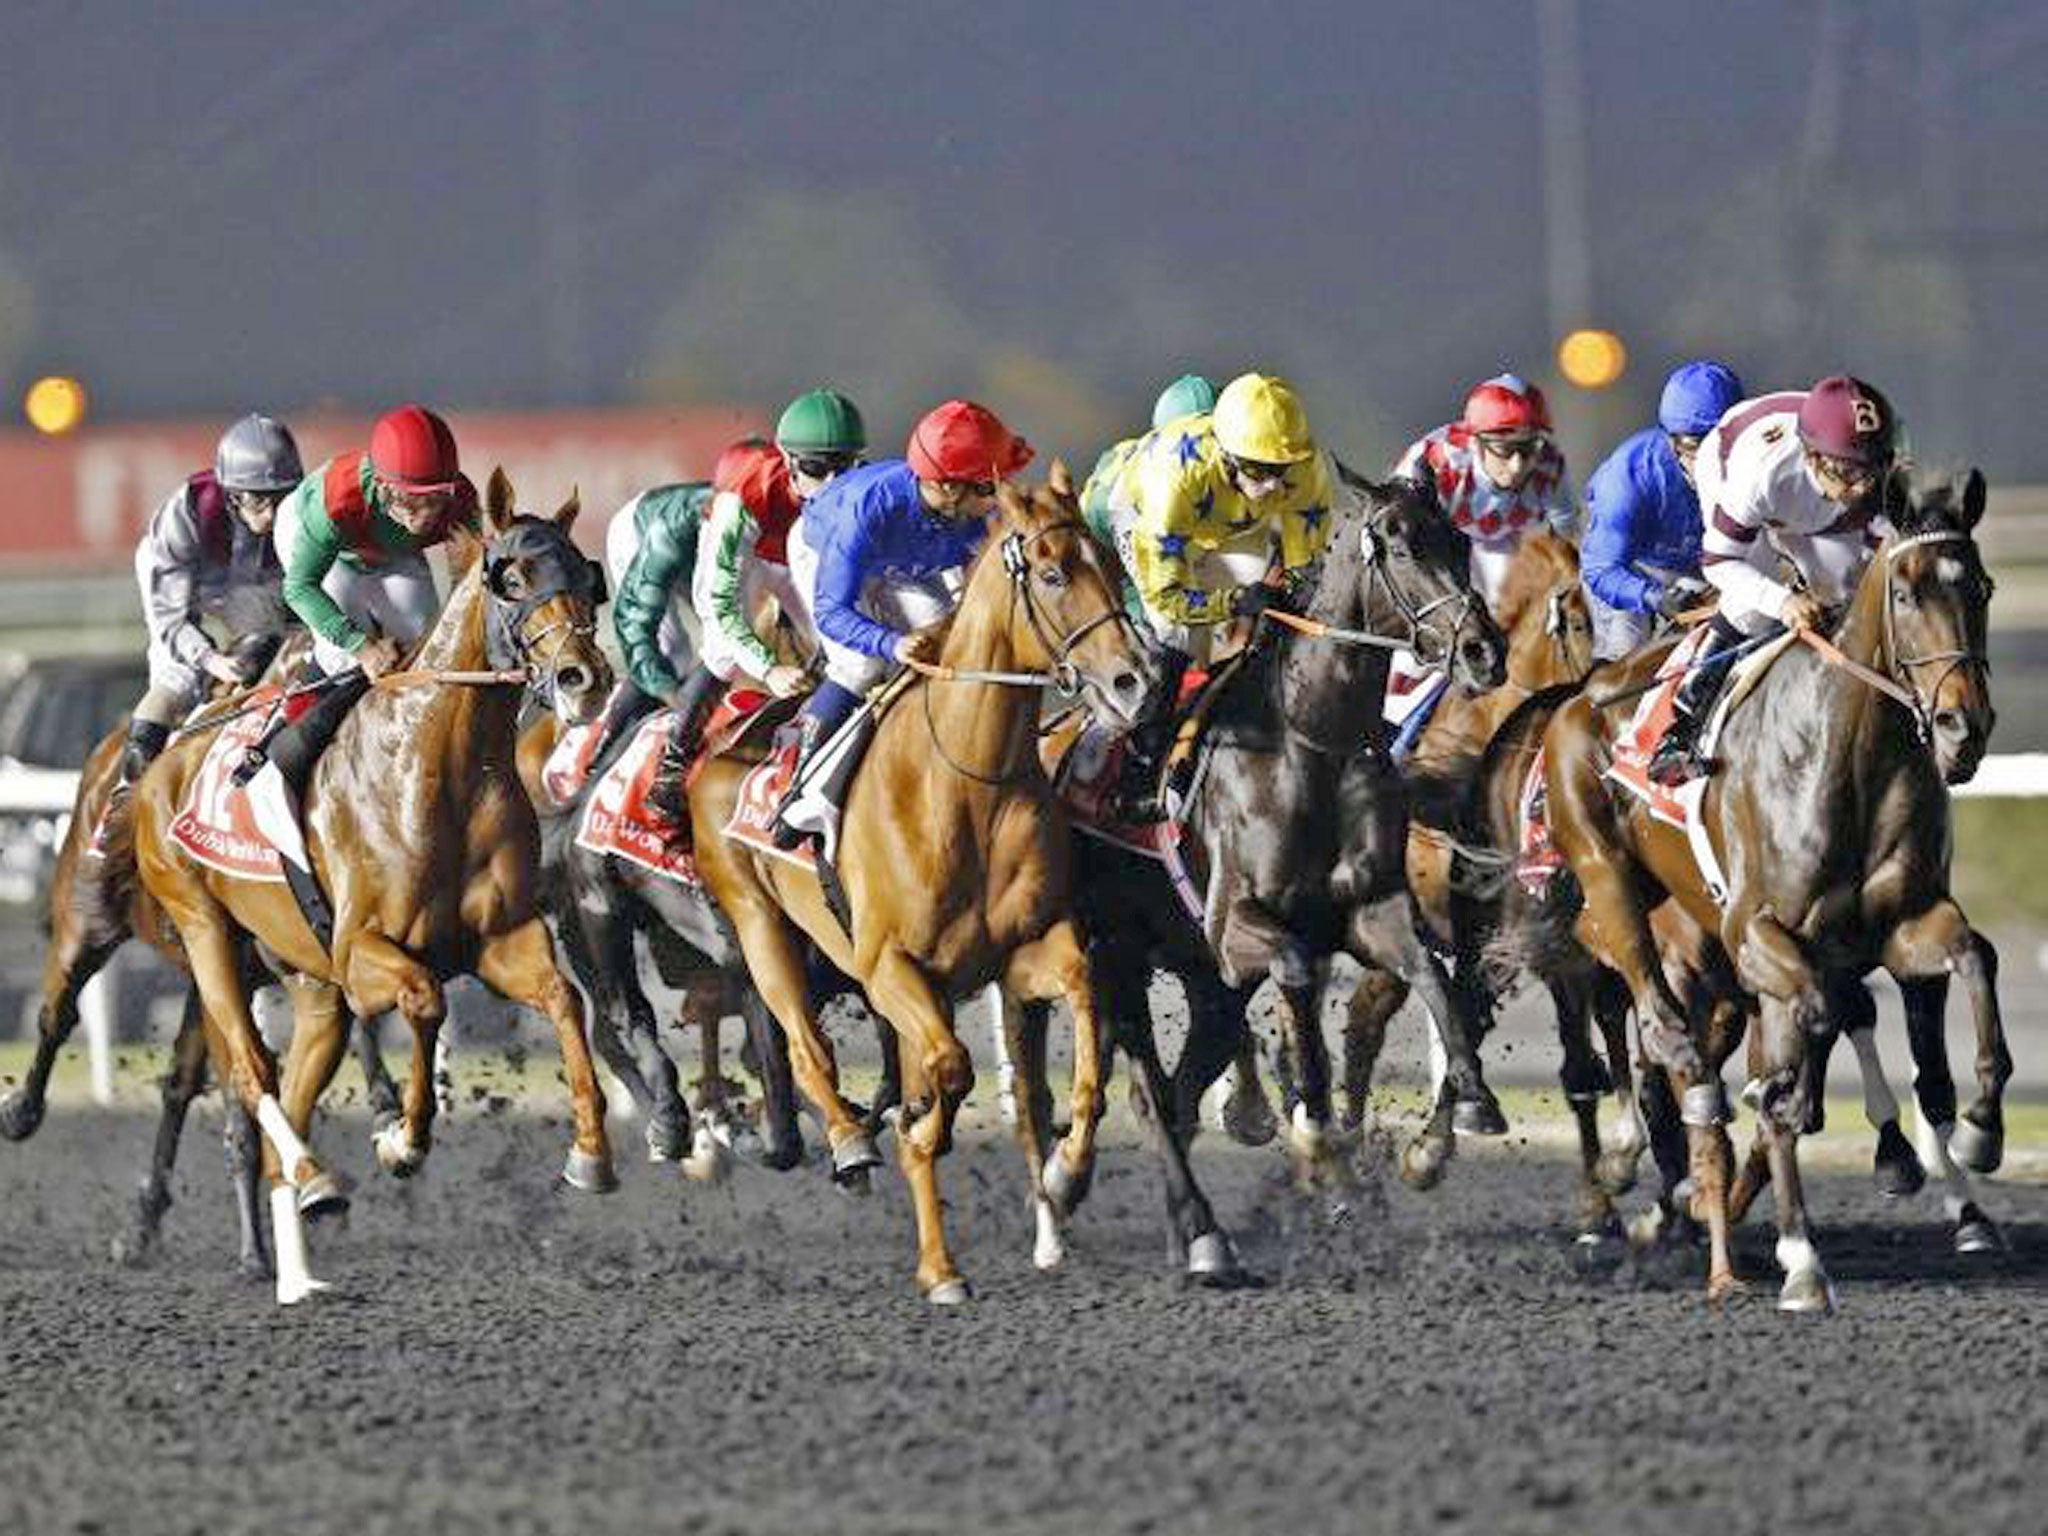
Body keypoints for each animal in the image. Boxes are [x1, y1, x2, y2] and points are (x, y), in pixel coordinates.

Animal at [132, 466, 614, 1302]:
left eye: (587, 577)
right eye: (513, 576)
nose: (584, 678)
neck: (441, 765)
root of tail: (168, 759)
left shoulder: (500, 939)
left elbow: (561, 999)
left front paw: (589, 1154)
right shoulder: (363, 950)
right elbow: (424, 1000)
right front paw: (402, 1140)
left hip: (312, 988)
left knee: (287, 1107)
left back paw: (300, 1267)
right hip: (205, 931)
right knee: (253, 1072)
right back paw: (317, 1179)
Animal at [688, 462, 1155, 1302]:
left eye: (1110, 561)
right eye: (1052, 573)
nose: (1135, 682)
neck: (967, 780)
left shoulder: (1024, 951)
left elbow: (1080, 1026)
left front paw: (1067, 1174)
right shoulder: (891, 966)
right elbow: (947, 1071)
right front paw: (915, 1135)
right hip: (761, 926)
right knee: (805, 1047)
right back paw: (856, 1151)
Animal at [1073, 462, 1507, 1277]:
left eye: (1462, 542)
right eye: (1401, 547)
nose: (1484, 650)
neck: (1312, 743)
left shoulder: (1372, 907)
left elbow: (1430, 974)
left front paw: (1473, 1100)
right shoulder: (1236, 927)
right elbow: (1301, 981)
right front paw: (1316, 1141)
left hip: (1203, 978)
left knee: (1181, 1087)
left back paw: (1195, 1229)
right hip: (1118, 953)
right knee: (1149, 1090)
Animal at [1540, 473, 1998, 1310]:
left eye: (1978, 587)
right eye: (1907, 593)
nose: (1962, 725)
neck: (1851, 756)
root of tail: (1581, 696)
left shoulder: (1902, 924)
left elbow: (1972, 955)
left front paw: (1981, 1129)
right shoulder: (1757, 935)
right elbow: (1809, 1035)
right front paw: (1799, 1240)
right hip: (1613, 888)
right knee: (1659, 1023)